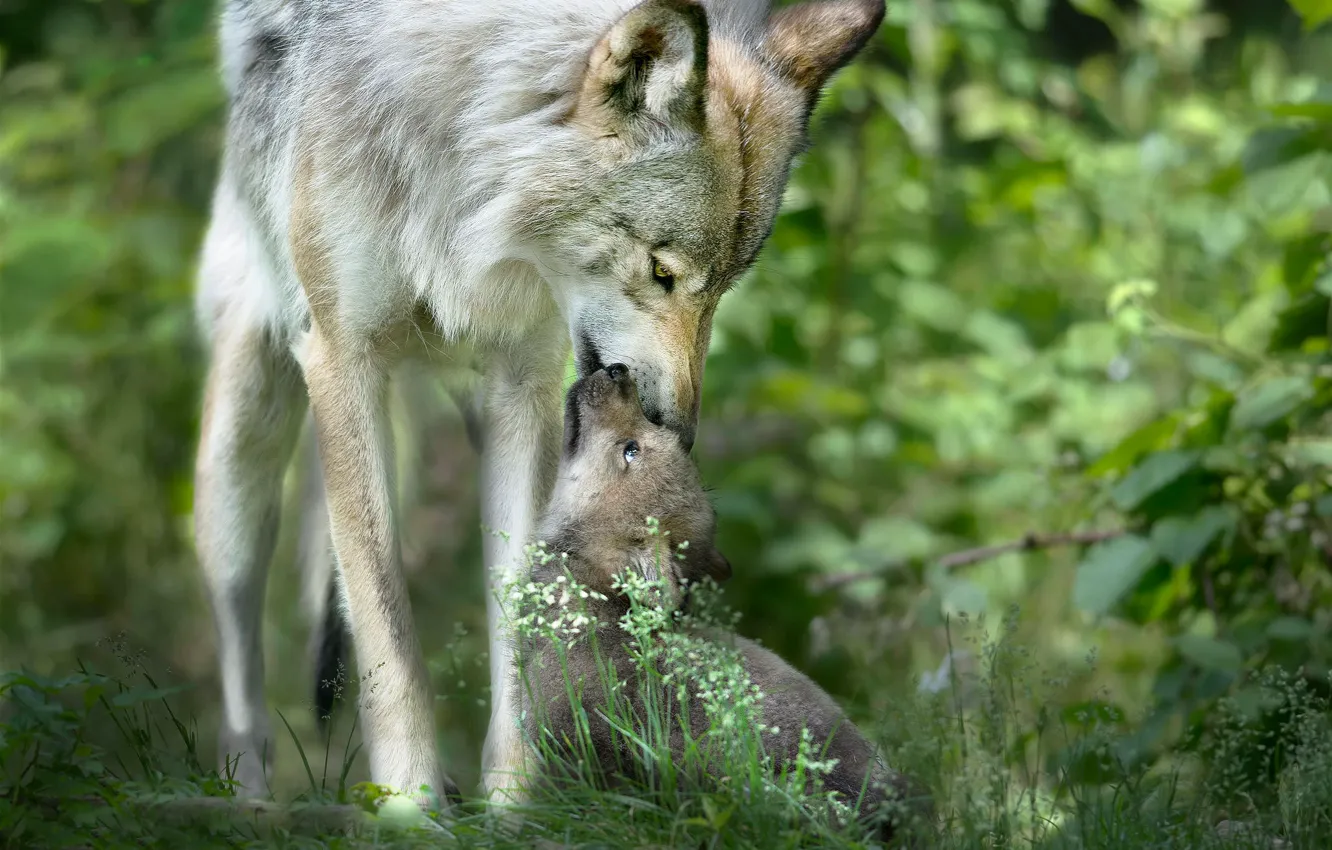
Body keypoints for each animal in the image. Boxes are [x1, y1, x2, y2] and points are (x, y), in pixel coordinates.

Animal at [197, 0, 884, 815]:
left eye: (725, 285)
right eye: (662, 271)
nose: (677, 431)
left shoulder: (523, 383)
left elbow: (523, 618)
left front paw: (511, 804)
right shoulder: (342, 361)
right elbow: (388, 634)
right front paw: (412, 808)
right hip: (245, 450)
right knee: (240, 656)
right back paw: (246, 797)